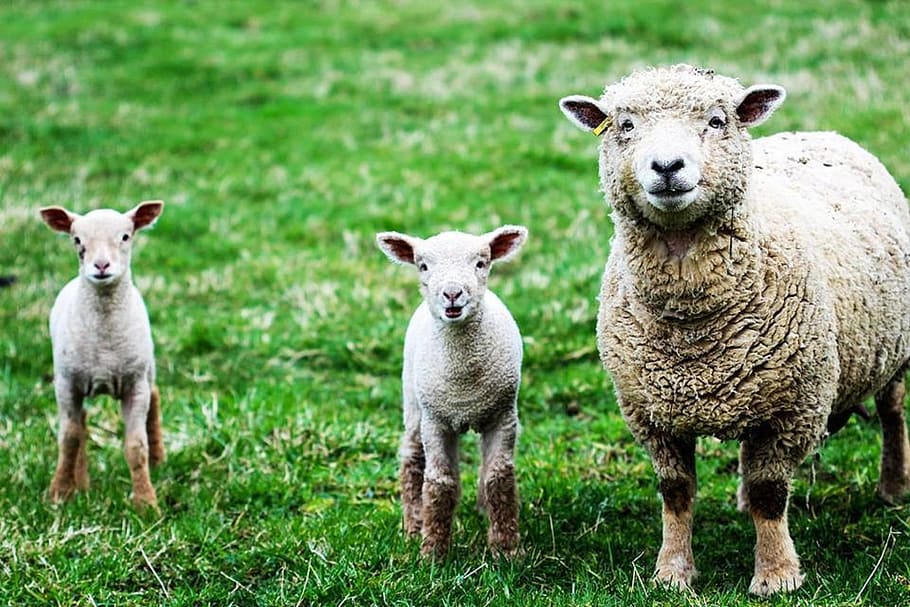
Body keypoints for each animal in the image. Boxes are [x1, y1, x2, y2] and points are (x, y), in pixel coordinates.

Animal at [40, 200, 166, 510]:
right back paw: (81, 482)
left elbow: (136, 446)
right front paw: (60, 492)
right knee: (81, 423)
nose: (101, 266)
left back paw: (159, 460)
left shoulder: (135, 385)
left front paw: (146, 503)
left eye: (125, 236)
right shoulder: (66, 384)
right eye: (77, 240)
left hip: (147, 368)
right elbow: (69, 438)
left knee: (156, 395)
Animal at [376, 225, 528, 557]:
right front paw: (433, 552)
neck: (464, 383)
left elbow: (499, 478)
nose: (452, 294)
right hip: (414, 403)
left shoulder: (503, 417)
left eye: (481, 263)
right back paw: (414, 525)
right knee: (412, 456)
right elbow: (439, 484)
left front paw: (506, 550)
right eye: (423, 266)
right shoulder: (436, 423)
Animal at [559, 64, 910, 595]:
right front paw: (672, 572)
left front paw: (777, 575)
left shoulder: (793, 407)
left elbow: (770, 493)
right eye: (625, 125)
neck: (693, 329)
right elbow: (676, 492)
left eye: (717, 121)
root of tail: (822, 133)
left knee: (892, 415)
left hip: (891, 352)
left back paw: (893, 488)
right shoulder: (650, 413)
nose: (667, 166)